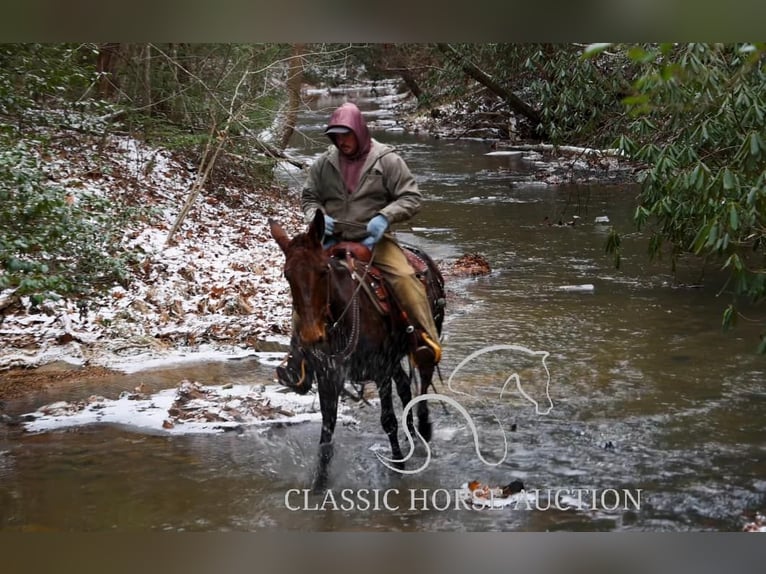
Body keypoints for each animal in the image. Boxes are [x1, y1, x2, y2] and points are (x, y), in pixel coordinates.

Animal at [272, 212, 448, 490]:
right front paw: (320, 483)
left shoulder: (381, 371)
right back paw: (411, 431)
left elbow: (388, 421)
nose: (311, 335)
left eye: (323, 271)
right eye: (287, 274)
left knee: (423, 381)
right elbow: (327, 431)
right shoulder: (328, 376)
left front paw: (399, 467)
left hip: (424, 340)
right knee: (405, 387)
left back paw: (423, 432)